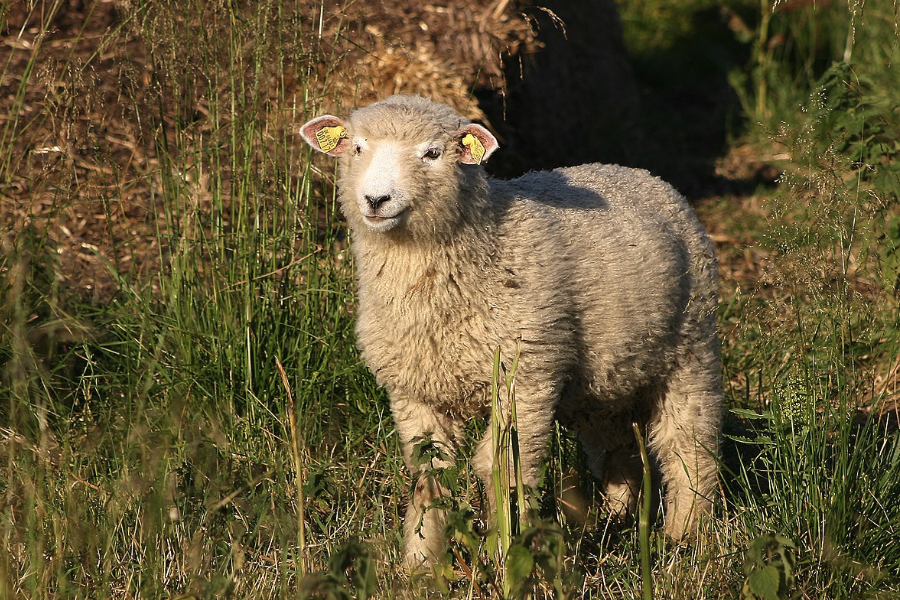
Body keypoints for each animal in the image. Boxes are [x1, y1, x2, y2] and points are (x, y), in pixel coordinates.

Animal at [298, 94, 720, 568]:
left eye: (432, 153)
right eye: (356, 148)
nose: (375, 198)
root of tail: (635, 172)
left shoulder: (525, 379)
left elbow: (503, 468)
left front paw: (508, 555)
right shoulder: (414, 392)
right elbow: (429, 475)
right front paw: (421, 564)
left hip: (691, 345)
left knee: (688, 446)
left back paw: (687, 536)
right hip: (602, 377)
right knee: (615, 446)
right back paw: (616, 519)